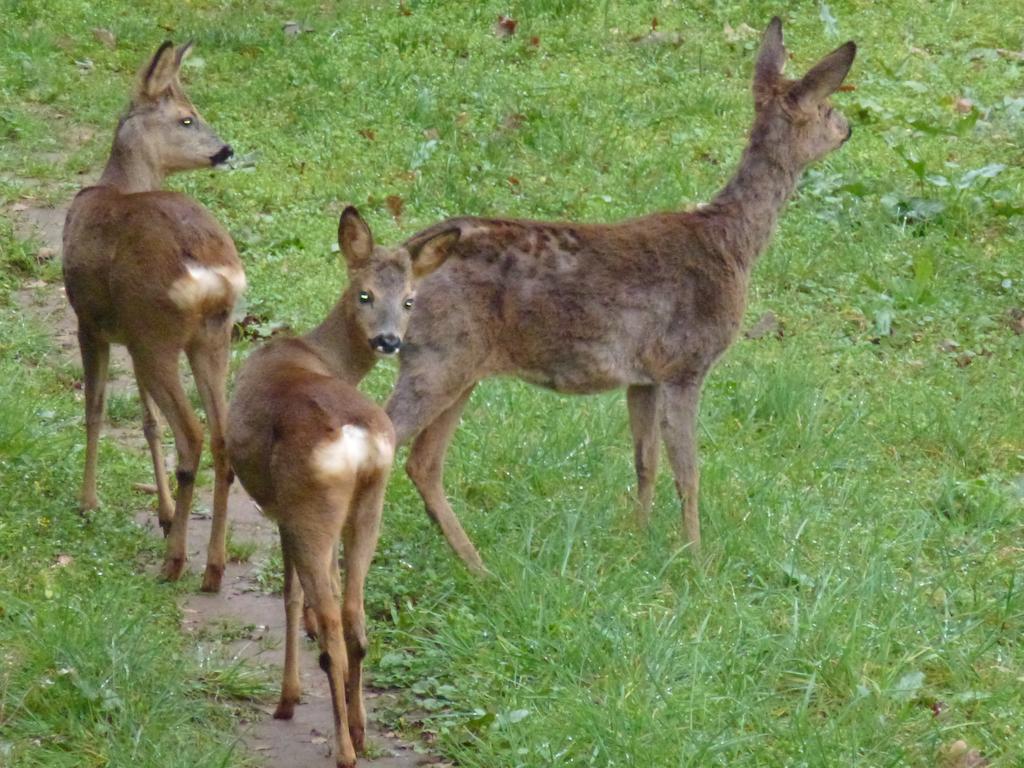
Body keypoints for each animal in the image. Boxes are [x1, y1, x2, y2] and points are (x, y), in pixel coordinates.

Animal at [62, 41, 243, 593]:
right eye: (187, 118)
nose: (225, 150)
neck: (116, 184)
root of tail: (206, 267)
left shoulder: (90, 321)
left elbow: (96, 407)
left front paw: (88, 503)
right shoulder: (127, 332)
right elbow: (145, 421)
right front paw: (162, 513)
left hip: (158, 334)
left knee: (194, 435)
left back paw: (175, 562)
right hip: (207, 336)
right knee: (222, 439)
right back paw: (213, 568)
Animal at [228, 205, 460, 768]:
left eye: (409, 300)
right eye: (365, 294)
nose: (389, 340)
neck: (319, 353)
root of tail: (354, 438)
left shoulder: (277, 506)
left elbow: (291, 597)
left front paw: (288, 699)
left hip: (310, 505)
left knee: (334, 623)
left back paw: (343, 749)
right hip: (367, 505)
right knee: (356, 616)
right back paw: (359, 730)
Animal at [387, 16, 860, 577]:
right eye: (827, 106)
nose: (848, 128)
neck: (733, 244)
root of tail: (400, 260)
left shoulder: (643, 376)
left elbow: (644, 461)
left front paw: (637, 539)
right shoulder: (686, 363)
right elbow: (689, 471)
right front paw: (696, 558)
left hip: (462, 365)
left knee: (422, 462)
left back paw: (479, 568)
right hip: (440, 355)